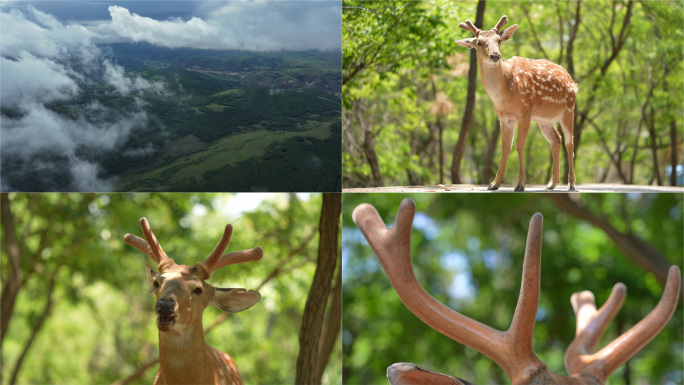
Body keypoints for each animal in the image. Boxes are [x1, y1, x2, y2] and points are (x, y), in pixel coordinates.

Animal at [456, 15, 580, 191]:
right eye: (479, 42)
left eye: (499, 40)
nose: (495, 56)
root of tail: (571, 80)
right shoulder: (504, 118)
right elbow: (505, 148)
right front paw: (494, 184)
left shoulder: (525, 111)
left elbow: (520, 145)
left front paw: (520, 184)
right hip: (544, 119)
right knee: (556, 140)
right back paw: (551, 183)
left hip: (569, 109)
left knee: (570, 143)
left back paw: (571, 183)